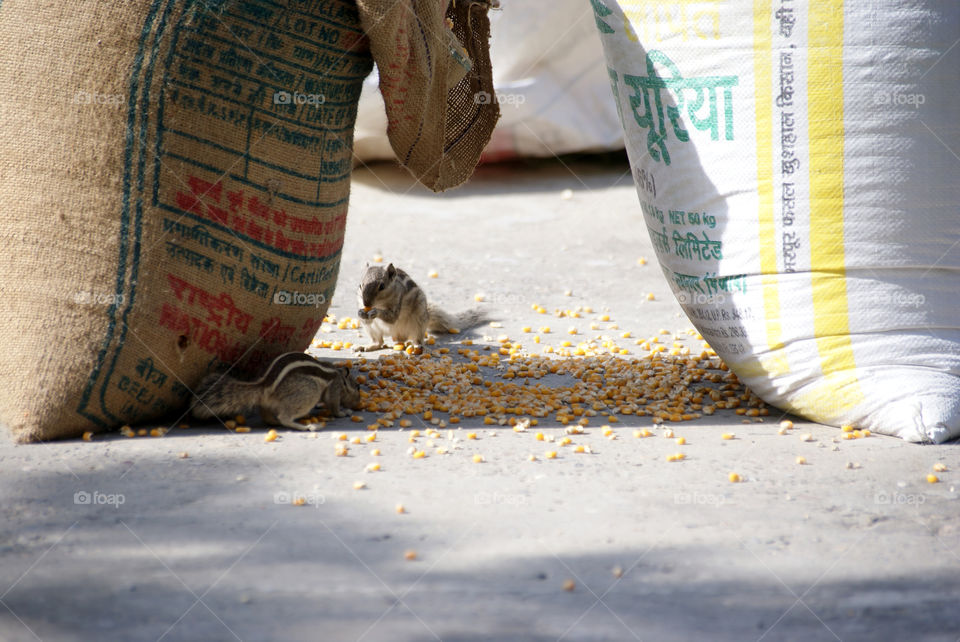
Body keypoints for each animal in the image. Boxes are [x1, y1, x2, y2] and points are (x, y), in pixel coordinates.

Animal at [190, 352, 361, 430]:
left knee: (269, 417)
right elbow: (333, 404)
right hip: (309, 391)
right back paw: (306, 426)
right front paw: (343, 412)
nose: (358, 402)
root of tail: (264, 386)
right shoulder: (334, 388)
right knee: (285, 417)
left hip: (269, 404)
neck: (339, 375)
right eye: (358, 387)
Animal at [355, 263, 488, 352]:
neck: (380, 303)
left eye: (382, 286)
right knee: (379, 341)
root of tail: (398, 336)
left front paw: (375, 312)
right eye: (360, 285)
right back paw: (366, 346)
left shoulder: (398, 301)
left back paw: (418, 346)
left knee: (417, 339)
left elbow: (392, 317)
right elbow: (368, 319)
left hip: (418, 320)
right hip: (372, 330)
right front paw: (361, 313)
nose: (366, 304)